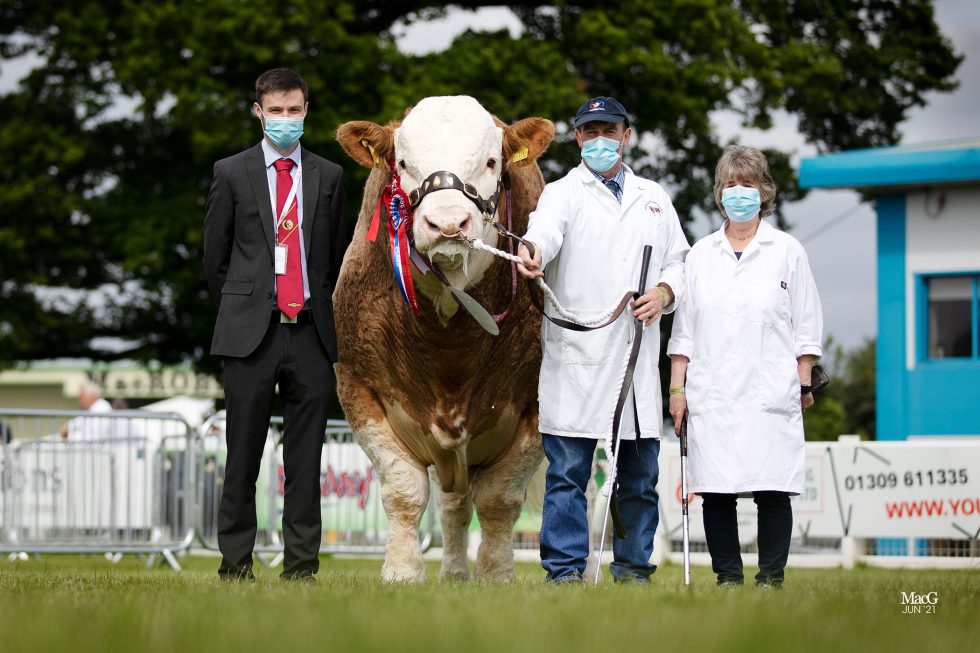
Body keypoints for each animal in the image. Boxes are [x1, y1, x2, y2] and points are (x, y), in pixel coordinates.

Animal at [334, 97, 552, 580]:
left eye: (490, 161)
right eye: (402, 163)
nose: (448, 223)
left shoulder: (536, 403)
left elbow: (499, 499)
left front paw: (497, 575)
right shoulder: (359, 386)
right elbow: (403, 490)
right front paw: (400, 572)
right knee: (454, 503)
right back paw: (453, 572)